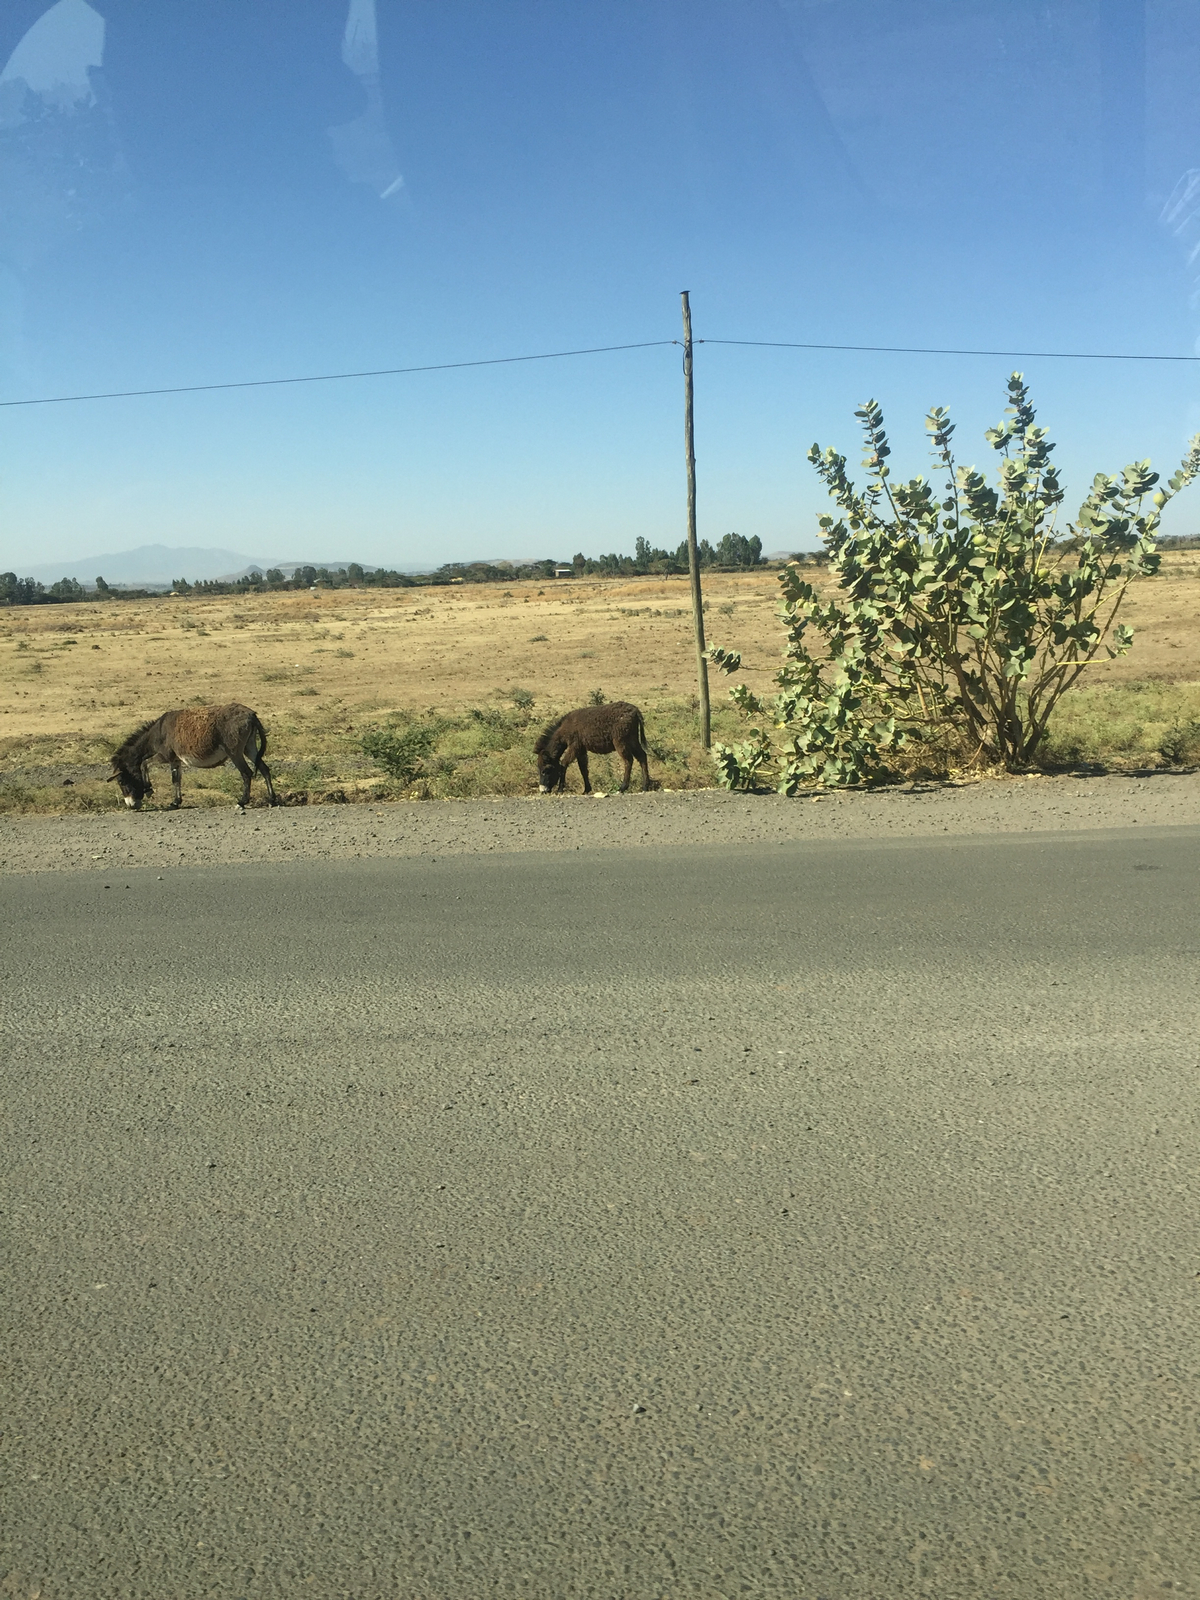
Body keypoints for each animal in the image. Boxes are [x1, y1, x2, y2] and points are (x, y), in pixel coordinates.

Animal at [109, 703, 277, 811]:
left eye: (121, 781)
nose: (131, 806)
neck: (158, 733)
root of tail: (251, 714)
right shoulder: (175, 760)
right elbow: (176, 779)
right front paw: (175, 802)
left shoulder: (165, 756)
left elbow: (144, 763)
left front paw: (149, 790)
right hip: (249, 747)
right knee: (264, 769)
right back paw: (272, 801)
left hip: (234, 752)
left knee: (246, 773)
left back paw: (242, 802)